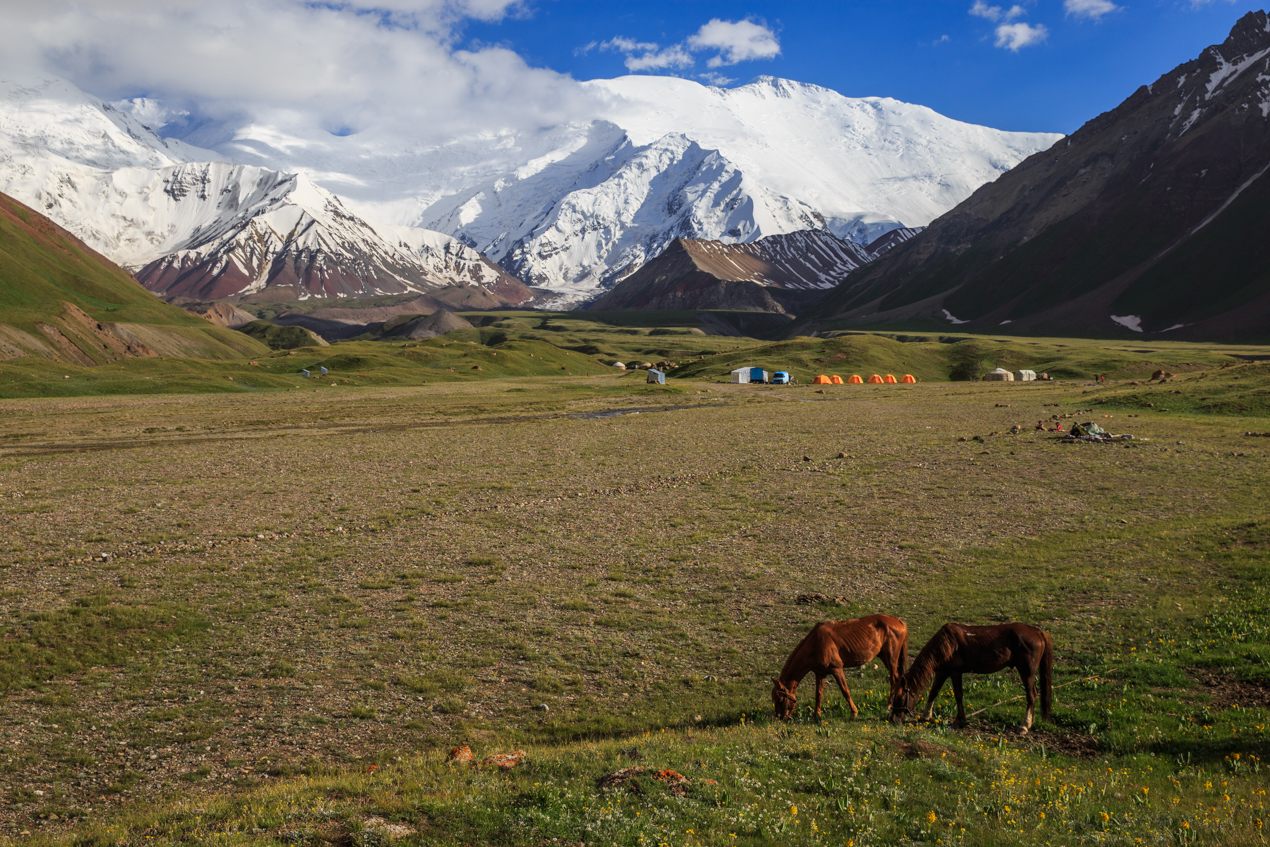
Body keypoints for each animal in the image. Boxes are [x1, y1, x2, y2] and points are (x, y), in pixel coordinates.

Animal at [767, 617, 909, 721]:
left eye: (780, 700)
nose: (779, 718)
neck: (816, 643)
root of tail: (898, 621)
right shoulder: (820, 673)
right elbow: (818, 694)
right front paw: (816, 716)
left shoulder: (837, 669)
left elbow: (845, 691)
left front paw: (854, 712)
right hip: (884, 656)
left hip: (891, 658)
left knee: (894, 679)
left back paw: (889, 705)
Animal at [883, 622, 1051, 736]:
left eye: (900, 698)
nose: (892, 719)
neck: (947, 644)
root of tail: (1037, 632)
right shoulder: (942, 672)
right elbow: (933, 692)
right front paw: (925, 716)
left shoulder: (955, 672)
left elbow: (958, 695)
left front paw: (959, 721)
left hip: (1026, 671)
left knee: (1031, 695)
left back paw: (1024, 726)